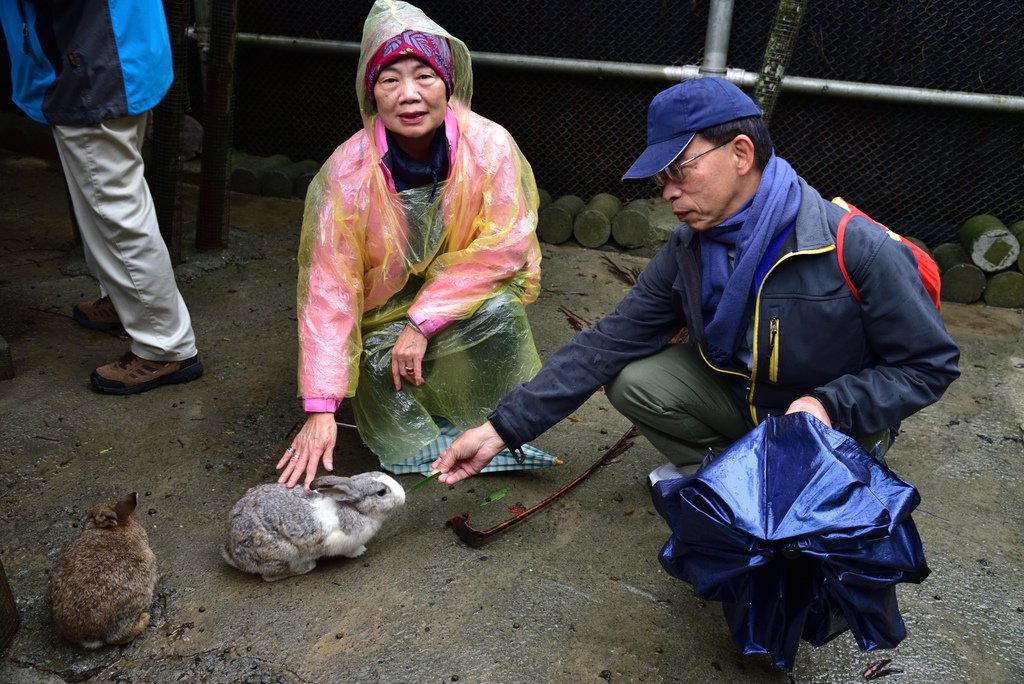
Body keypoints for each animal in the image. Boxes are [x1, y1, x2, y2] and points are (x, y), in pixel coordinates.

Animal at [49, 491, 156, 647]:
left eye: (91, 515)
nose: (84, 521)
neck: (118, 527)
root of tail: (87, 637)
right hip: (139, 598)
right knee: (117, 638)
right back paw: (144, 618)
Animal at [222, 473, 405, 581]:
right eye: (381, 492)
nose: (403, 496)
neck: (355, 508)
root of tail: (232, 555)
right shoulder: (342, 542)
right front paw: (360, 552)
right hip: (283, 553)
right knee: (270, 576)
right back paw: (307, 567)